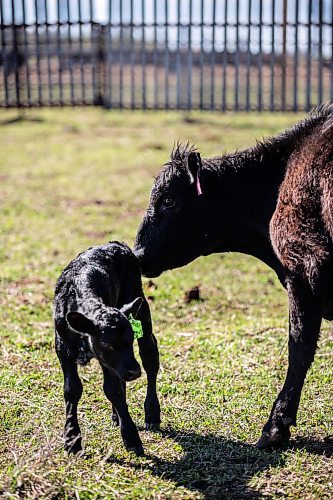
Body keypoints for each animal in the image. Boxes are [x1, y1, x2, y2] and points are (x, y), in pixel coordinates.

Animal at [53, 242, 160, 458]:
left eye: (130, 340)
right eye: (108, 344)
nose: (134, 372)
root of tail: (115, 244)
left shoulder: (107, 361)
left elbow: (113, 390)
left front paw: (131, 438)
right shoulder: (62, 347)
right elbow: (71, 389)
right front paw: (72, 439)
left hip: (141, 307)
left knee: (150, 357)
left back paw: (152, 414)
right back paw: (116, 415)